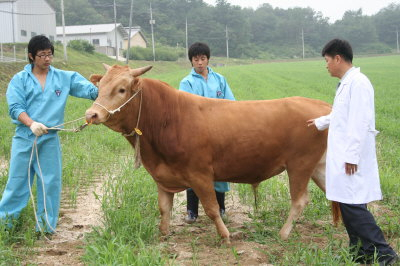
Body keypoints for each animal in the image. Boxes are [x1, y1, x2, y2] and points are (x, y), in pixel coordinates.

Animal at [86, 64, 332, 243]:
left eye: (121, 89)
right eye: (100, 87)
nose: (91, 114)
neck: (169, 118)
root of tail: (322, 105)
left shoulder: (200, 174)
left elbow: (212, 208)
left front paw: (225, 236)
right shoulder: (162, 176)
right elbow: (164, 208)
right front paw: (163, 235)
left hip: (300, 165)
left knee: (300, 200)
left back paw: (283, 233)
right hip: (318, 166)